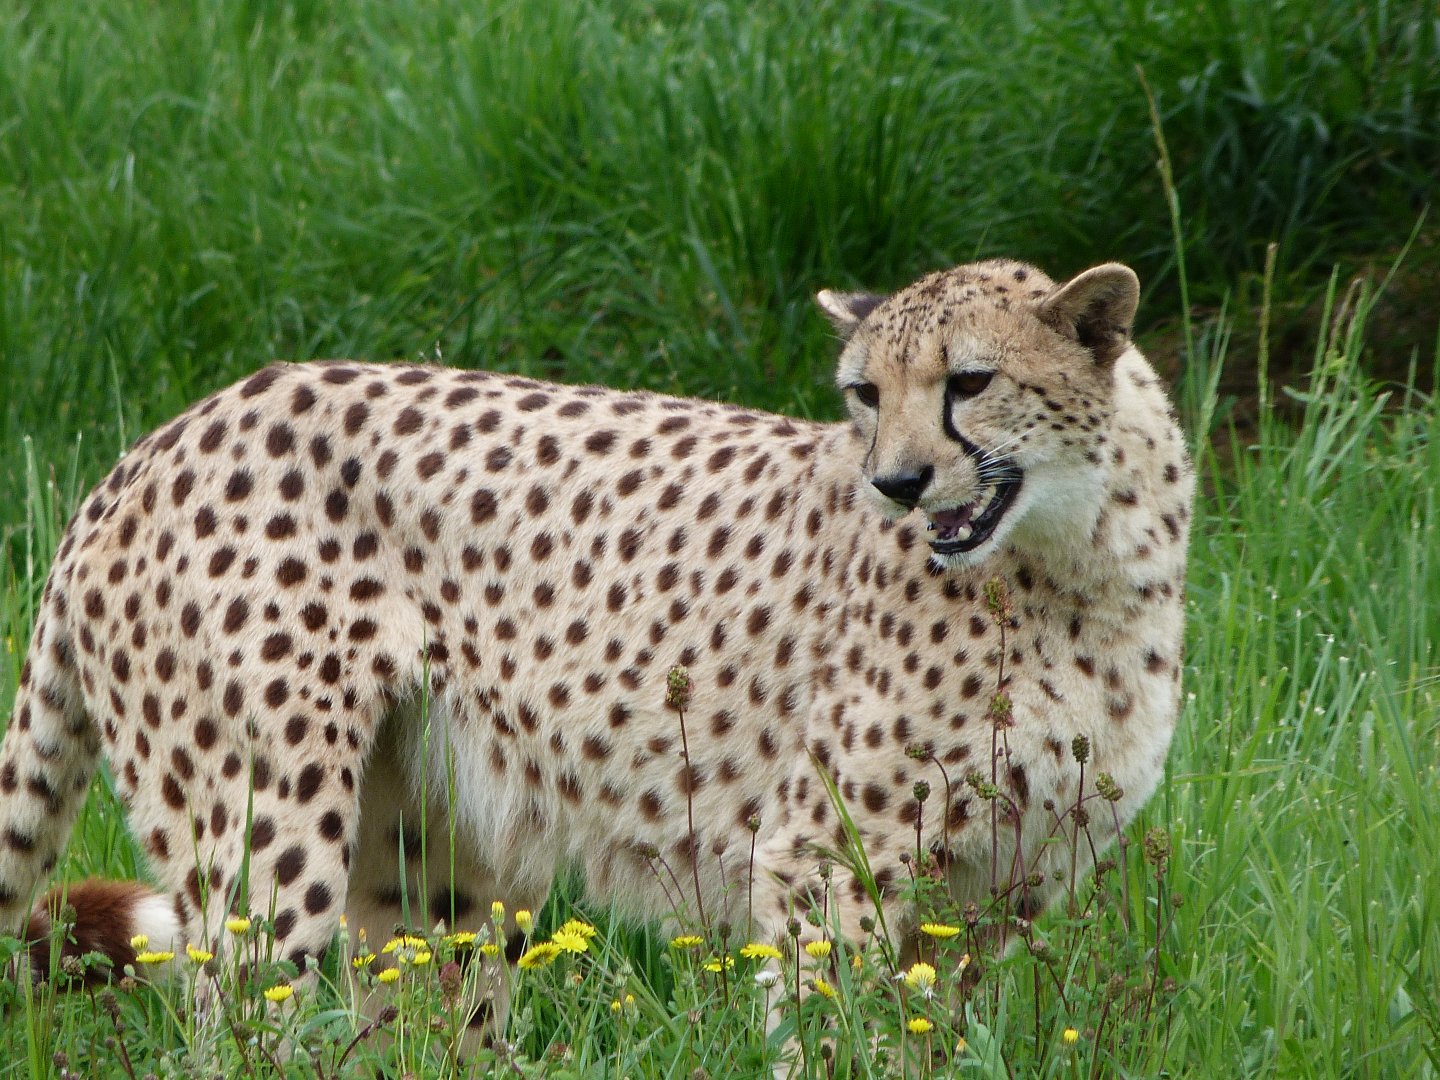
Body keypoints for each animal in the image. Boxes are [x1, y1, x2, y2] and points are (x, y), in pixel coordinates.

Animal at [0, 257, 1191, 1041]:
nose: (896, 483)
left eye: (970, 383)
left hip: (427, 866)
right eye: (866, 393)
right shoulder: (822, 859)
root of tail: (156, 442)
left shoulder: (993, 893)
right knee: (245, 1017)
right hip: (264, 836)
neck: (1071, 563)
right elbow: (834, 1033)